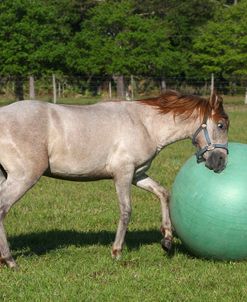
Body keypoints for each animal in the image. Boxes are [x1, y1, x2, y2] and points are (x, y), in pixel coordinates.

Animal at [0, 88, 230, 268]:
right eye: (221, 125)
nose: (220, 162)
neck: (145, 125)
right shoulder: (123, 173)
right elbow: (126, 211)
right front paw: (117, 251)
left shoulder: (138, 174)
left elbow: (163, 193)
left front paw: (166, 240)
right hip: (23, 178)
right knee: (2, 208)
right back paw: (10, 260)